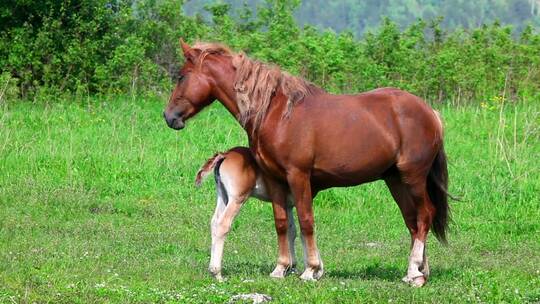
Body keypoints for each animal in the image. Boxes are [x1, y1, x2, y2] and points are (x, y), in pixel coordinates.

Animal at [196, 146, 304, 282]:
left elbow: (291, 231)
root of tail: (225, 154)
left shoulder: (287, 205)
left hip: (222, 196)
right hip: (237, 199)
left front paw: (291, 268)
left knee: (214, 222)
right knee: (223, 225)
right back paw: (218, 274)